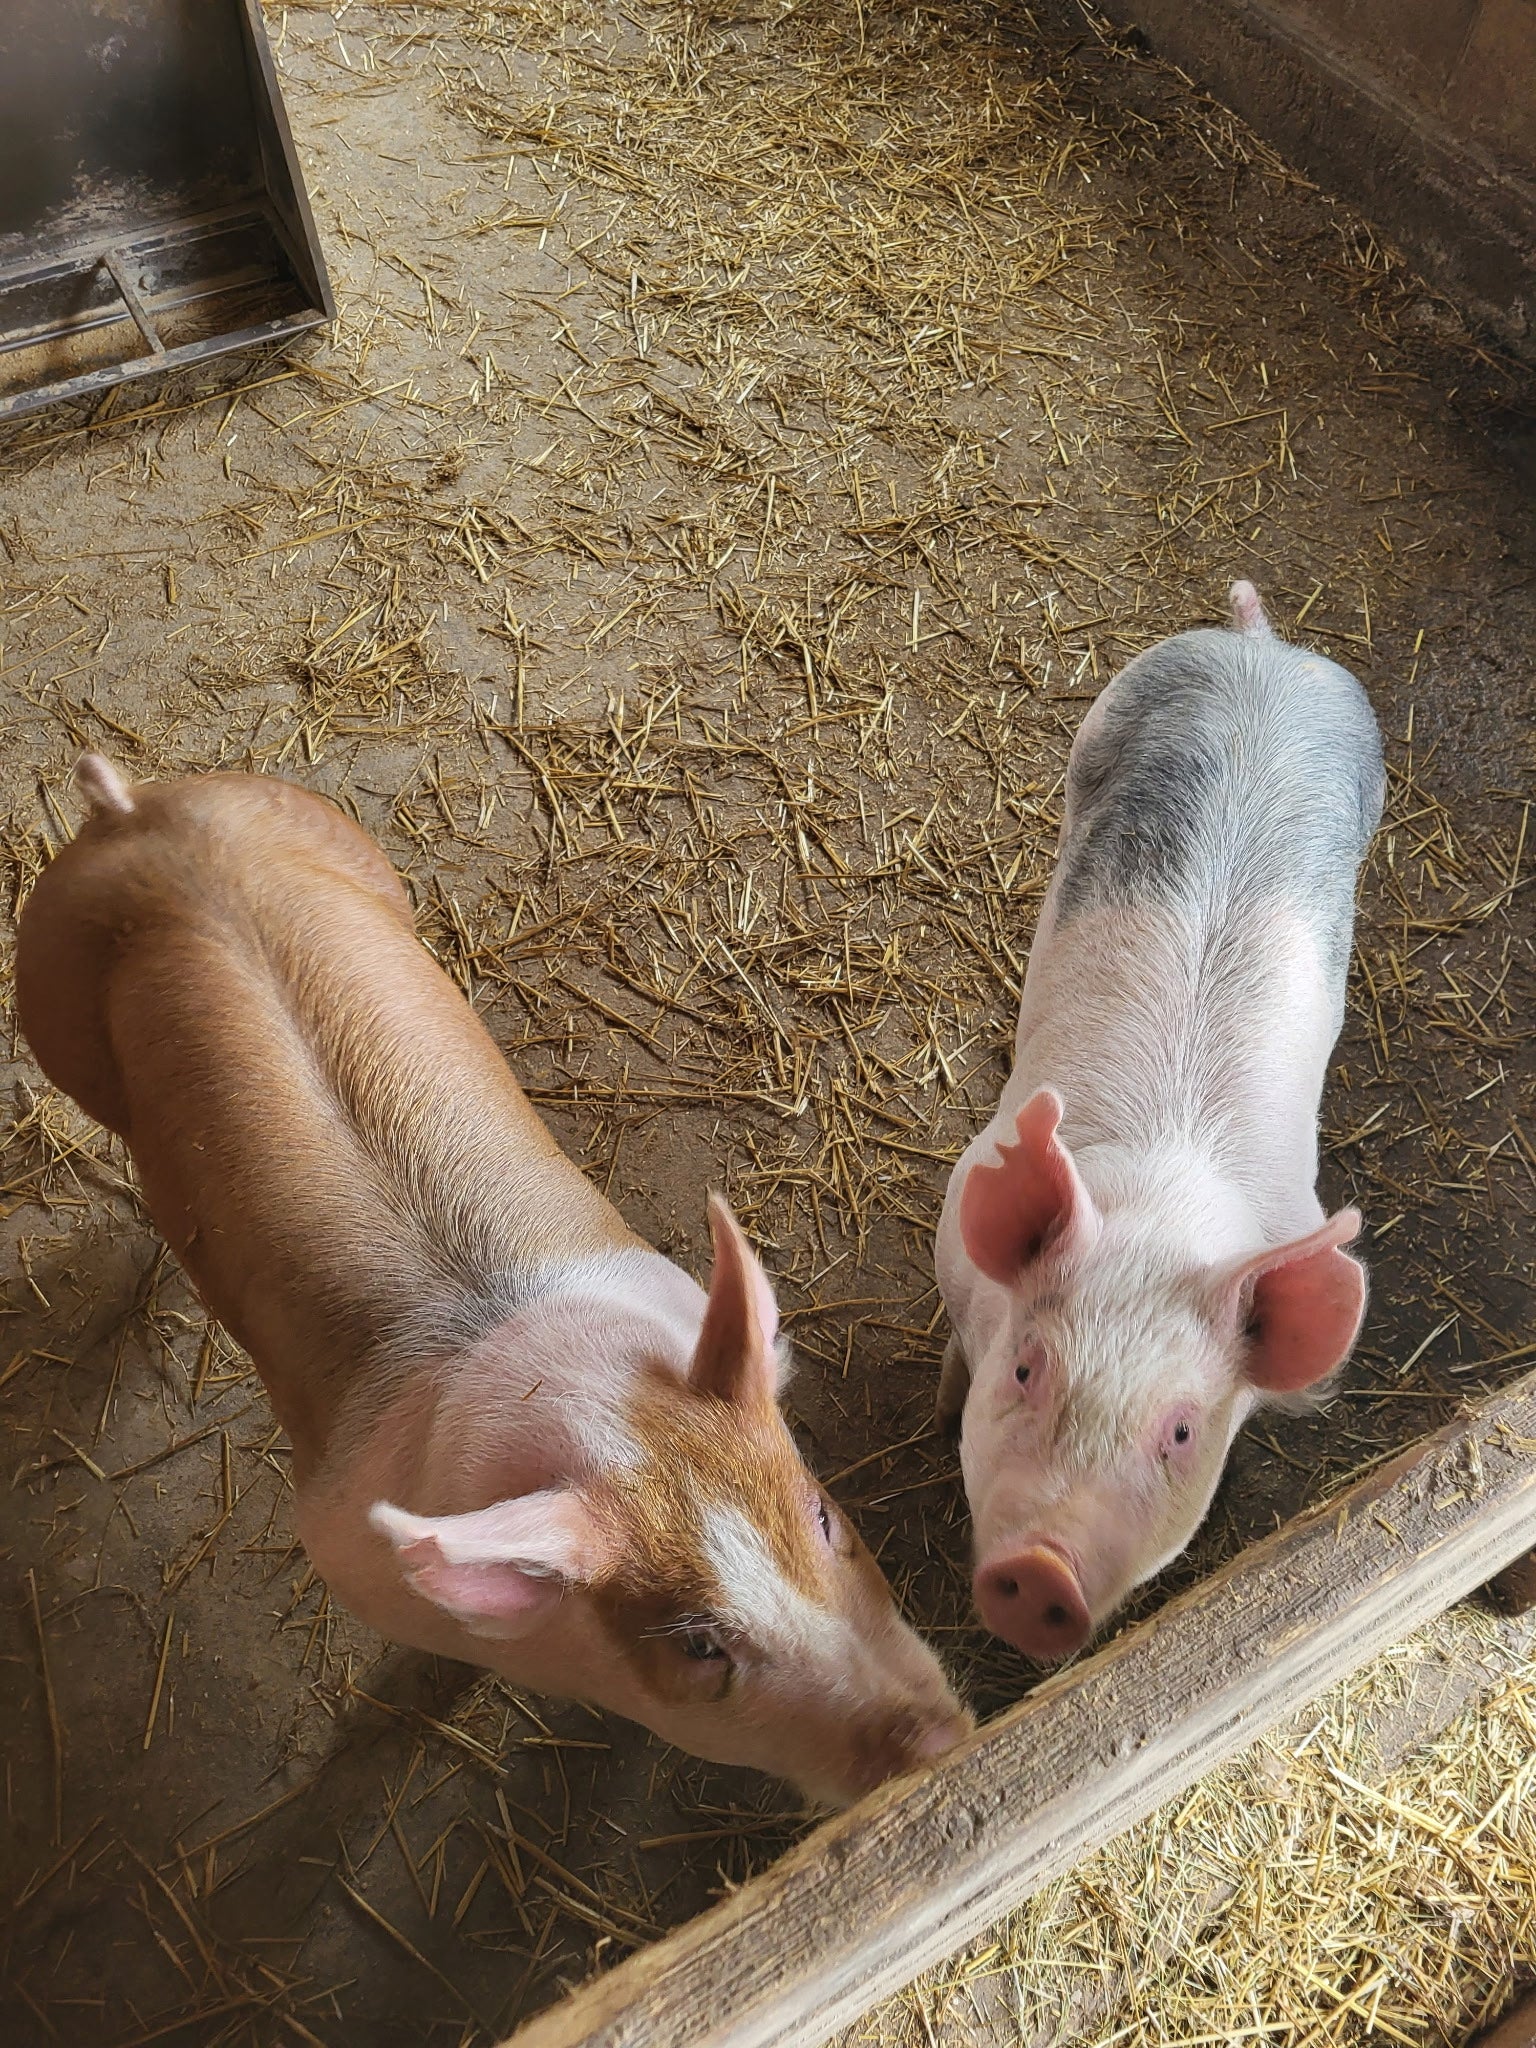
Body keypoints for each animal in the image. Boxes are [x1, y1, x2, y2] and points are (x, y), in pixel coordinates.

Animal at [17, 756, 970, 1803]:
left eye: (824, 1516)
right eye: (697, 1644)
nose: (938, 1737)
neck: (596, 1418)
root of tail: (130, 814)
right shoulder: (345, 1544)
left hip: (328, 833)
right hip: (46, 989)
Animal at [935, 580, 1384, 1663]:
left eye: (1180, 1432)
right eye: (1027, 1369)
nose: (1038, 1571)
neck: (1163, 1213)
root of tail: (1264, 649)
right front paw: (938, 1403)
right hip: (1108, 717)